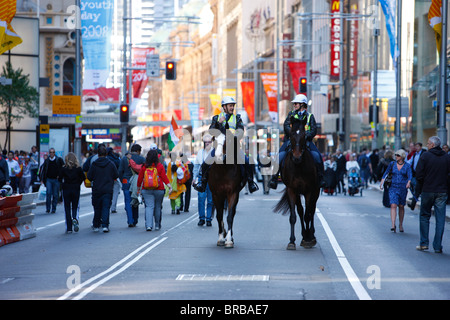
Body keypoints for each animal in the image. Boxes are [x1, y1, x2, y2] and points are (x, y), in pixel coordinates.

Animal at [274, 117, 320, 250]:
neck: (299, 166)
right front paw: (292, 241)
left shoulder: (309, 191)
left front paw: (308, 239)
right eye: (291, 135)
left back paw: (311, 235)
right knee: (300, 211)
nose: (297, 158)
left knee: (312, 210)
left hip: (316, 191)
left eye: (304, 135)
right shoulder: (292, 190)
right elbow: (294, 216)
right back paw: (304, 234)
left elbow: (307, 215)